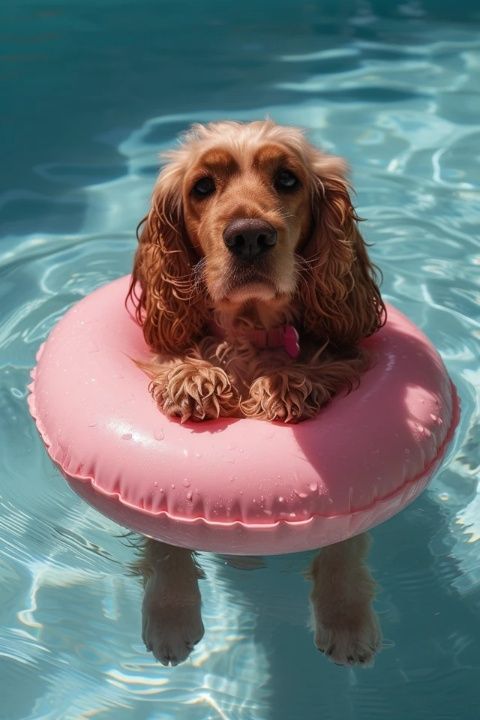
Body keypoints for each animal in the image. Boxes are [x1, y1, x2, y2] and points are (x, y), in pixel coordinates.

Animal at [127, 121, 386, 668]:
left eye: (287, 179)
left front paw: (347, 620)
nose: (249, 236)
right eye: (202, 187)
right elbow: (162, 540)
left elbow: (345, 541)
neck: (251, 329)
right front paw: (170, 616)